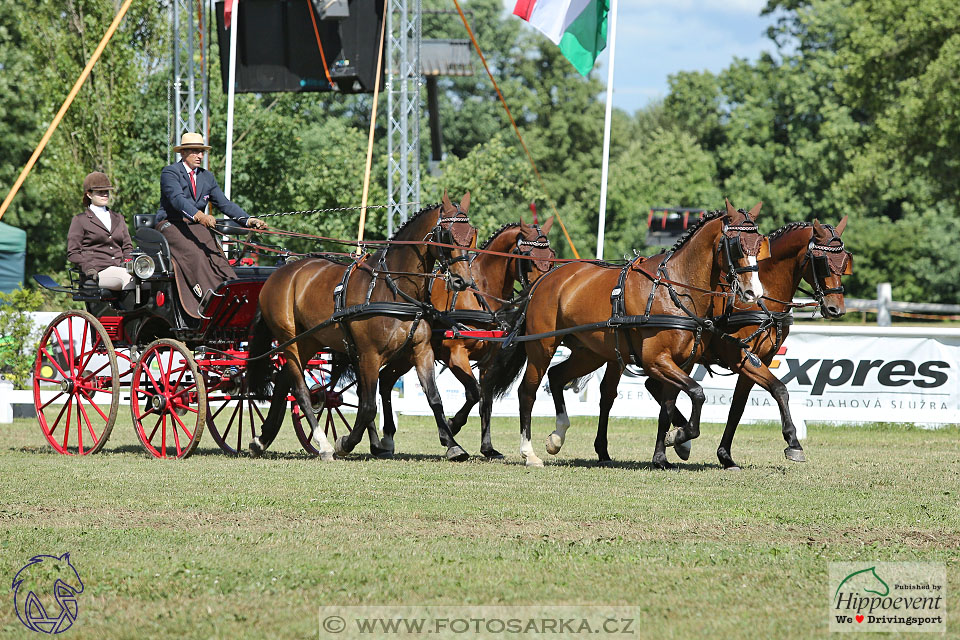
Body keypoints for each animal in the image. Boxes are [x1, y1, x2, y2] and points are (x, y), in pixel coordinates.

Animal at [244, 194, 476, 460]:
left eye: (471, 234)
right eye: (446, 234)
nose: (462, 281)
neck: (393, 288)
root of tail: (279, 274)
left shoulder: (421, 350)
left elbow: (434, 397)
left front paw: (452, 443)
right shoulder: (369, 355)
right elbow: (367, 406)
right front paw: (345, 443)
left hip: (308, 340)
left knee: (283, 381)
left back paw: (262, 439)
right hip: (288, 340)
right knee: (300, 390)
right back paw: (323, 444)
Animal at [376, 220, 556, 460]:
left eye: (552, 256)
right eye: (528, 257)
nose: (544, 292)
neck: (478, 293)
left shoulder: (489, 361)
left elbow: (485, 399)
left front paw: (488, 448)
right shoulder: (455, 355)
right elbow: (474, 392)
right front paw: (452, 426)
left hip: (406, 355)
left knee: (386, 379)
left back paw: (387, 437)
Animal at [492, 202, 768, 468]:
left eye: (759, 244)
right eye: (737, 245)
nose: (753, 292)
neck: (674, 289)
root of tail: (545, 279)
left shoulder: (681, 363)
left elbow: (670, 406)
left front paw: (666, 452)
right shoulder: (655, 360)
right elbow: (698, 393)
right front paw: (678, 437)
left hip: (589, 353)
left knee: (557, 376)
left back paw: (558, 437)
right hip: (542, 346)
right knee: (527, 391)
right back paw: (529, 453)